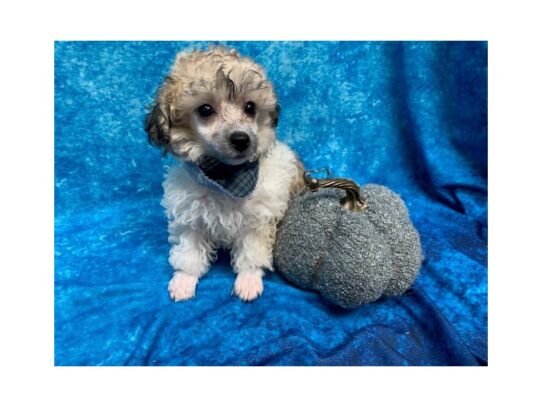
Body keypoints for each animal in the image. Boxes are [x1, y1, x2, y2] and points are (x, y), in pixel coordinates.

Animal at [144, 47, 306, 302]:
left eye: (250, 108)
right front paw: (184, 279)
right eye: (205, 110)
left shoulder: (258, 219)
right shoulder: (190, 215)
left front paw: (248, 280)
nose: (241, 139)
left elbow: (251, 251)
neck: (226, 176)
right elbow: (189, 250)